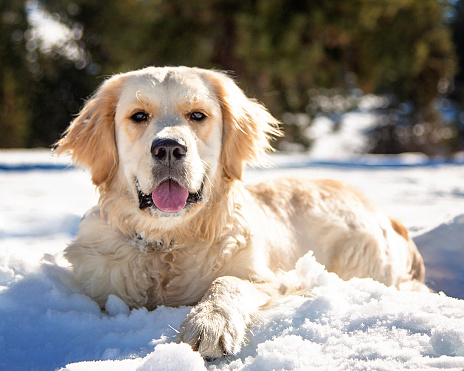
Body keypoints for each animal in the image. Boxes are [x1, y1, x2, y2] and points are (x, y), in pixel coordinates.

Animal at [55, 67, 428, 360]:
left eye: (198, 115)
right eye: (138, 116)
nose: (169, 148)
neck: (169, 243)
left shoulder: (270, 278)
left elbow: (228, 282)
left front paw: (209, 323)